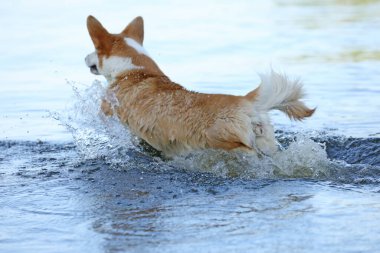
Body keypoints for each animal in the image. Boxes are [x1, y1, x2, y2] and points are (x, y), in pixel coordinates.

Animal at [84, 14, 314, 157]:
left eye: (94, 49)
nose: (85, 58)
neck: (134, 70)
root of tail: (245, 101)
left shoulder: (108, 113)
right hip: (266, 140)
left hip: (226, 142)